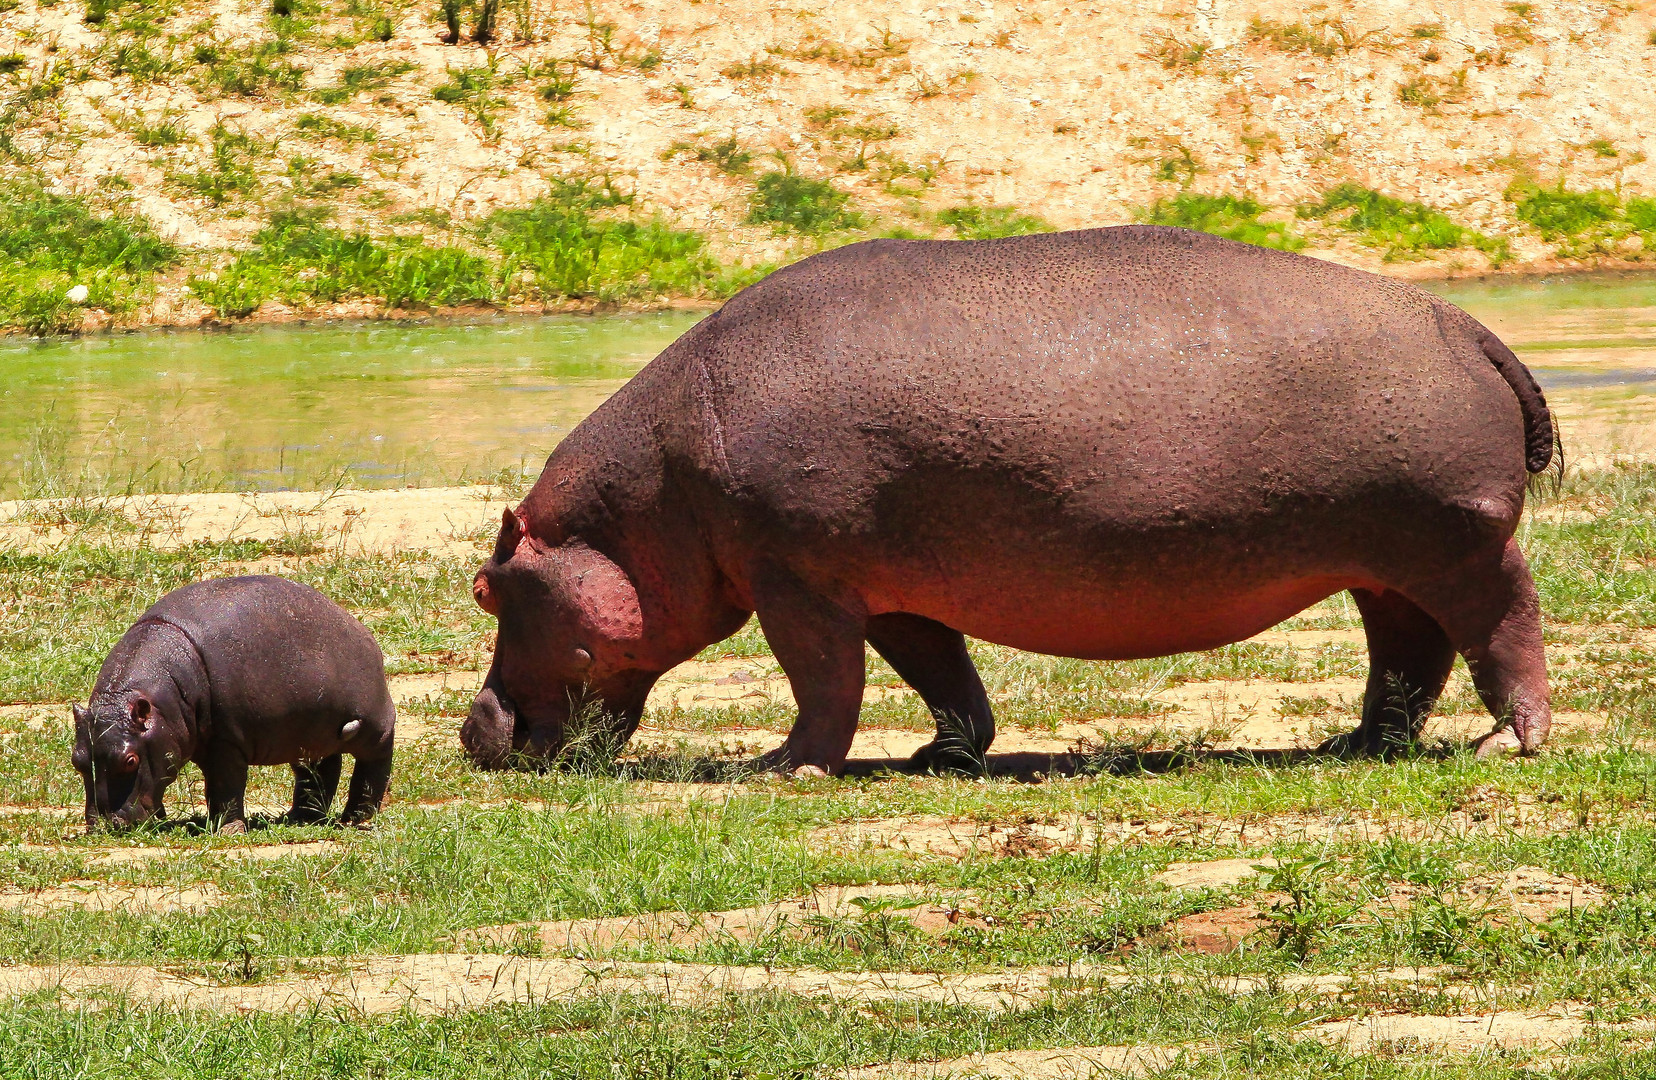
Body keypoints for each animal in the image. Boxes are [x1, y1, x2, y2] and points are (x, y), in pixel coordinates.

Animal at [72, 573, 395, 834]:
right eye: (77, 760)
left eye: (130, 760)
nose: (103, 825)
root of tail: (361, 628)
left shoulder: (225, 741)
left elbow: (225, 786)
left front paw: (228, 830)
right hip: (309, 731)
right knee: (319, 770)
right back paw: (301, 818)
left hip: (373, 724)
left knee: (373, 762)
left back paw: (356, 818)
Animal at [463, 225, 1550, 775]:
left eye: (484, 586)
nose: (471, 732)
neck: (643, 507)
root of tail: (1464, 321)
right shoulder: (886, 588)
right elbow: (938, 671)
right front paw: (943, 756)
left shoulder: (796, 583)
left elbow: (824, 683)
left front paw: (784, 768)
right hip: (1383, 561)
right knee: (1408, 653)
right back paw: (1357, 745)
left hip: (1456, 545)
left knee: (1505, 625)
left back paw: (1506, 745)